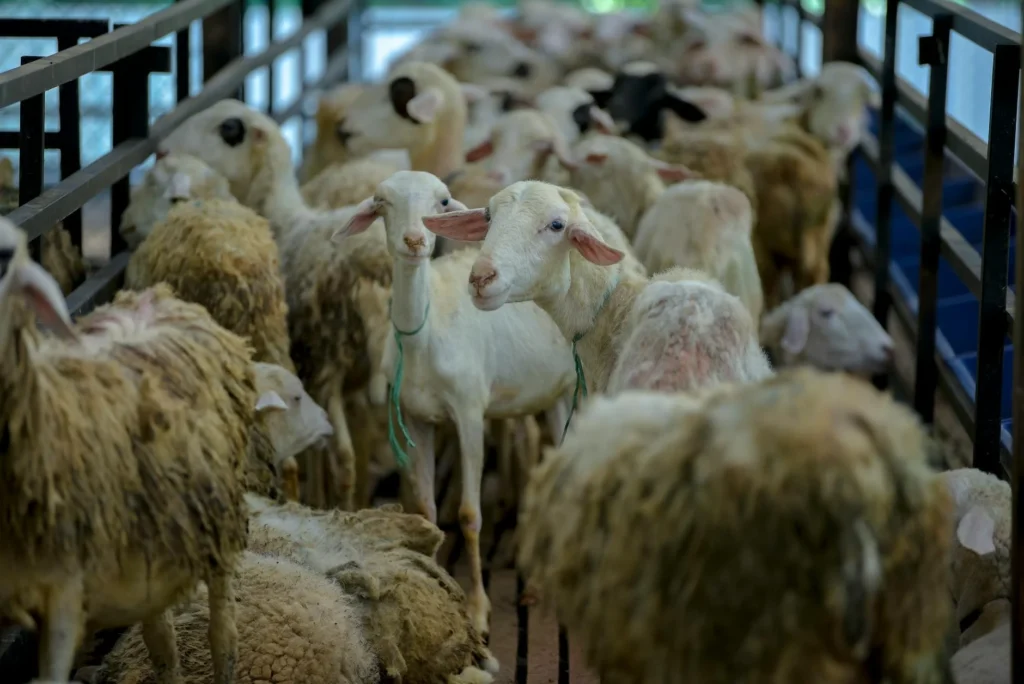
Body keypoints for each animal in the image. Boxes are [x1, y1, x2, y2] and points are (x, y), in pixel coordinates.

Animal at [0, 219, 251, 683]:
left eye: (6, 257)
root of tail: (155, 295)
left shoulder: (65, 591)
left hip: (219, 529)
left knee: (223, 633)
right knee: (162, 639)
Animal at [332, 170, 576, 638]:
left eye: (443, 202)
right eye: (382, 202)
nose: (414, 240)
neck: (427, 331)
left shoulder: (468, 413)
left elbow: (468, 515)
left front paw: (478, 612)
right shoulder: (416, 420)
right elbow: (427, 512)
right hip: (552, 395)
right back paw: (534, 584)